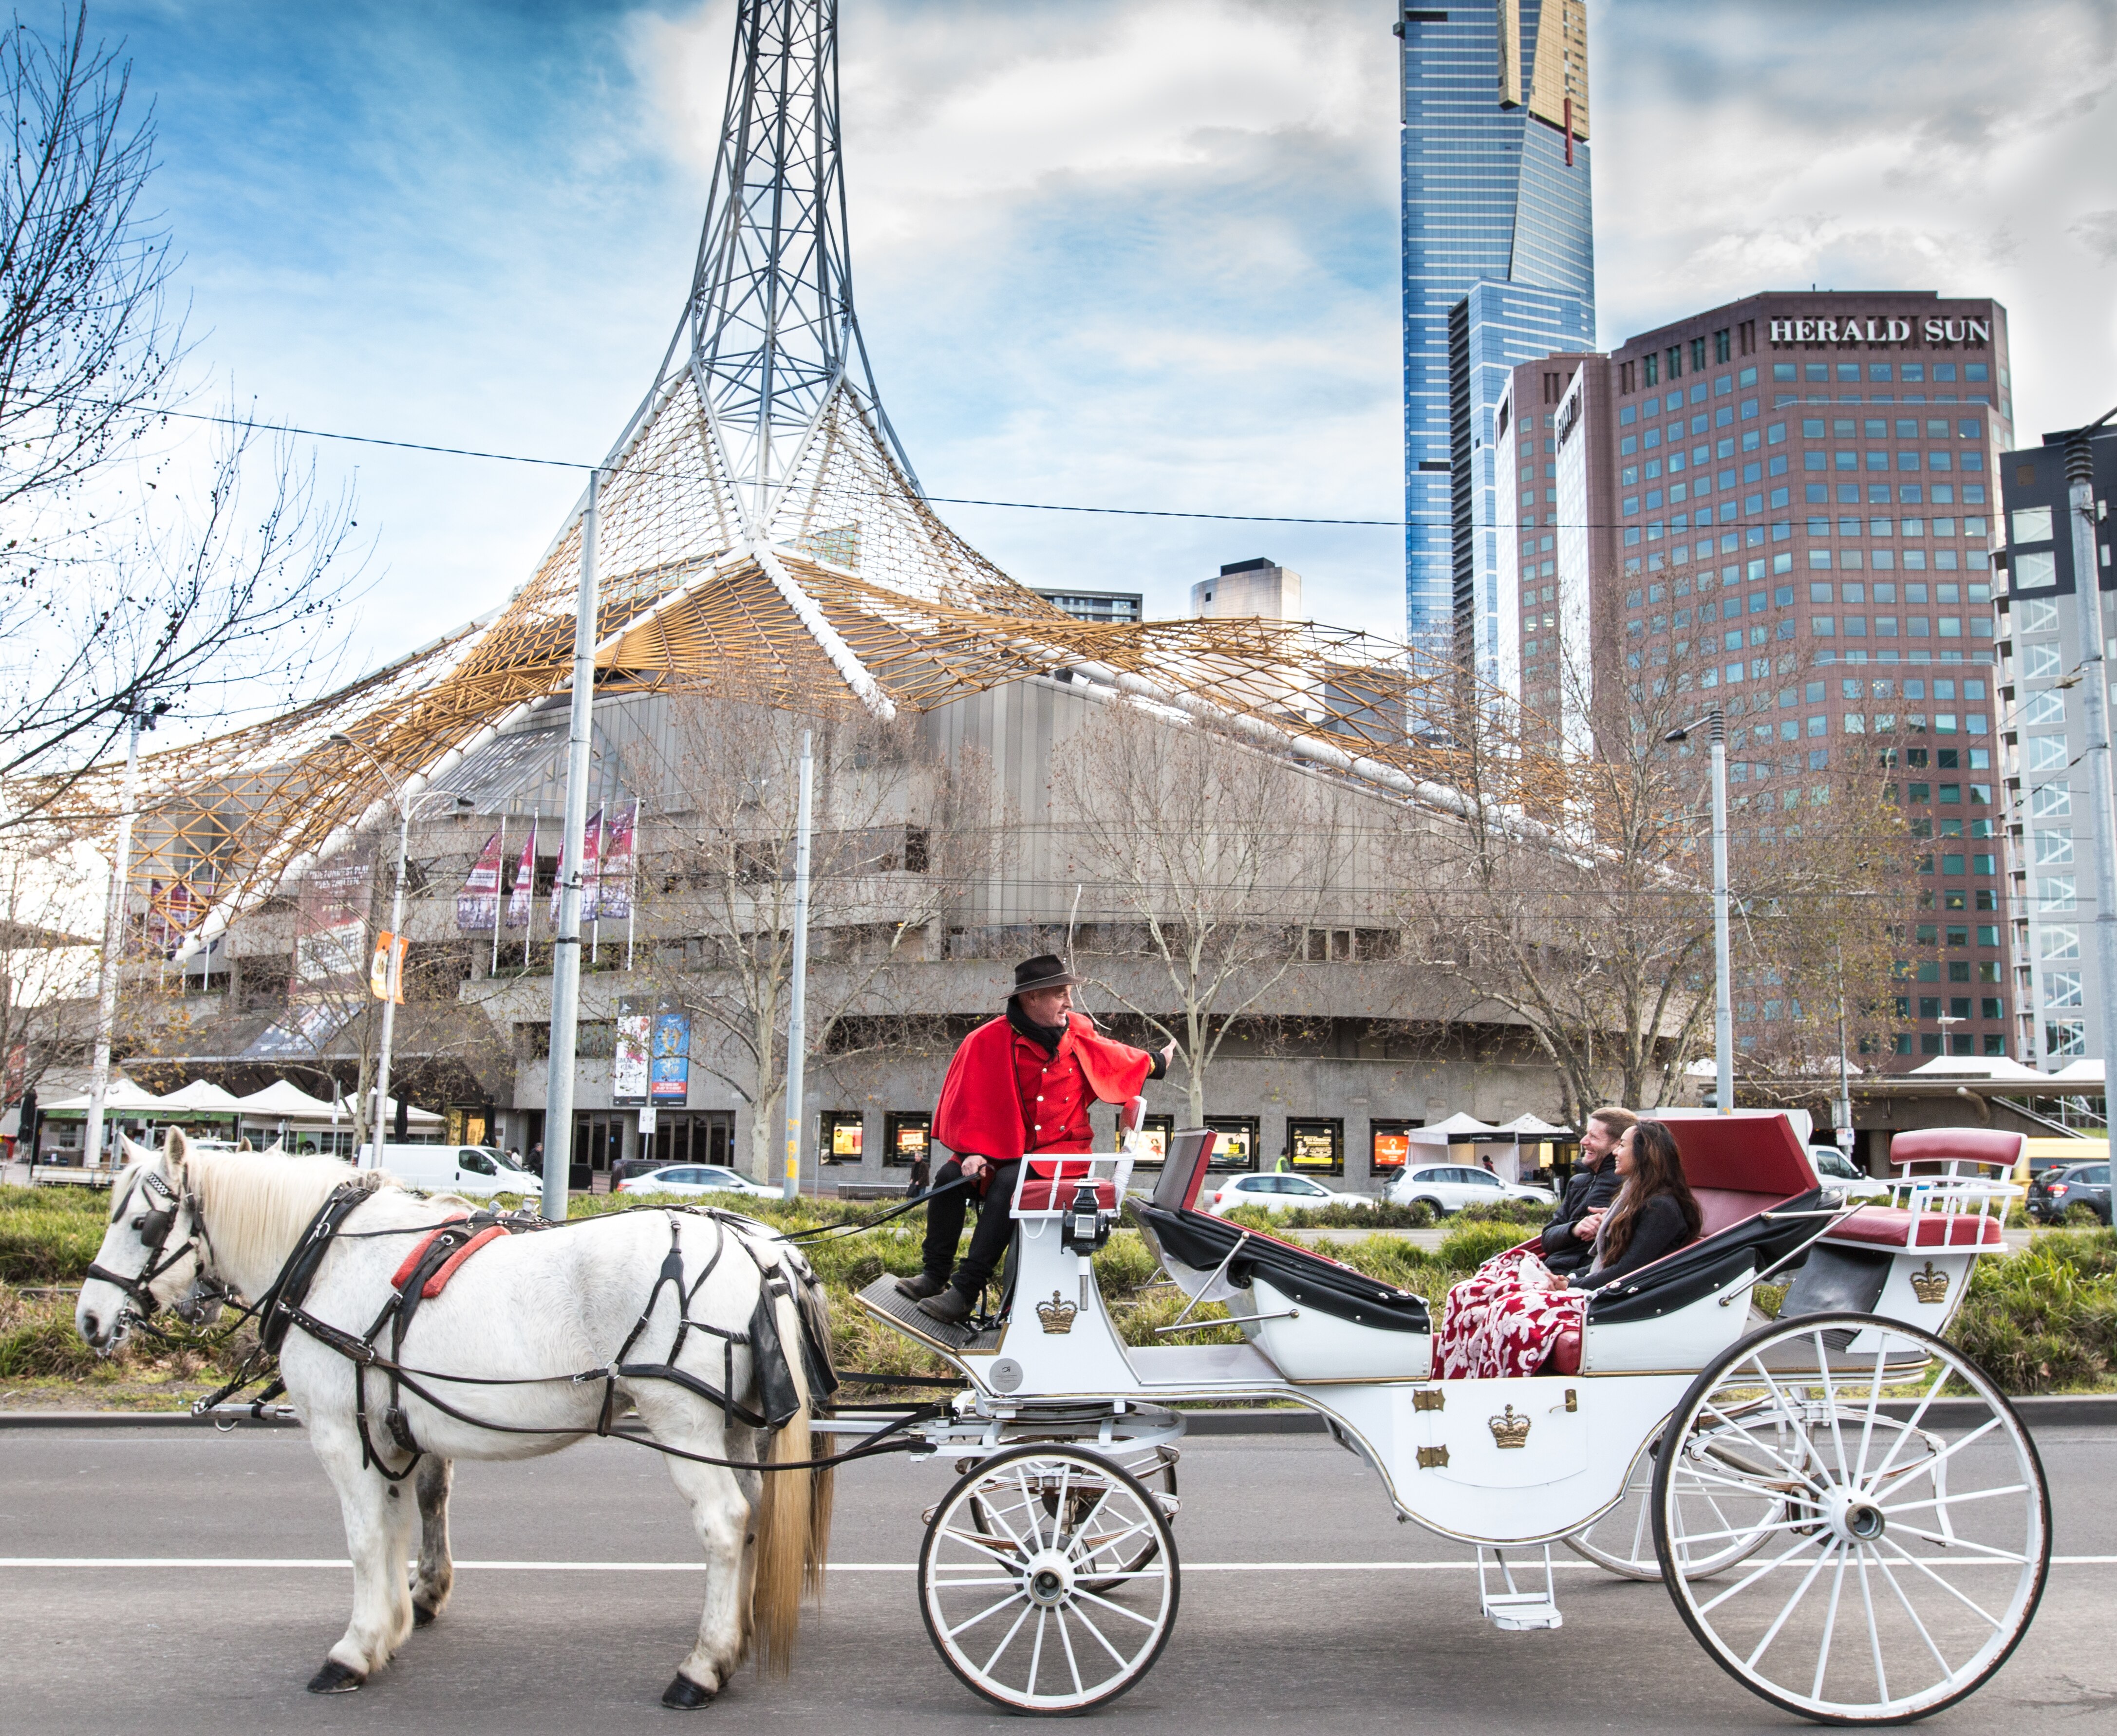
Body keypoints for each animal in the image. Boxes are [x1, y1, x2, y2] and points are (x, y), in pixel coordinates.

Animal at [76, 1126, 834, 1710]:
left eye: (143, 1224)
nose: (88, 1319)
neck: (330, 1257)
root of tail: (759, 1248)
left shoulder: (342, 1432)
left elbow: (365, 1538)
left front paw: (357, 1646)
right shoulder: (397, 1426)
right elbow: (413, 1513)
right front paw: (408, 1608)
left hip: (683, 1421)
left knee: (724, 1522)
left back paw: (701, 1667)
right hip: (734, 1425)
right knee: (754, 1514)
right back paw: (734, 1638)